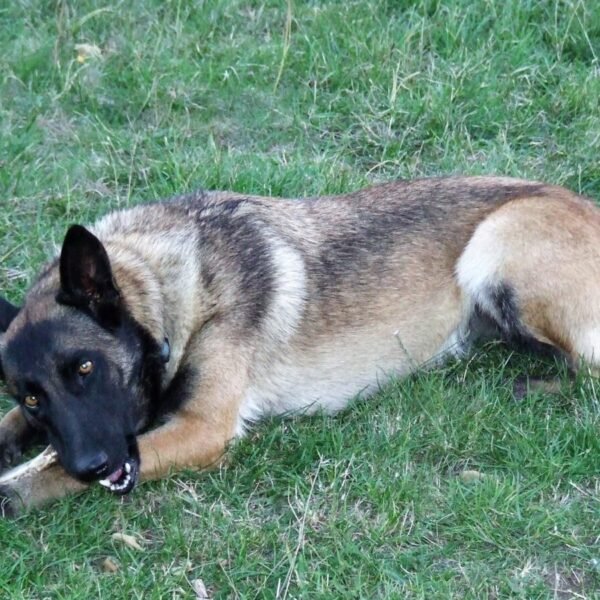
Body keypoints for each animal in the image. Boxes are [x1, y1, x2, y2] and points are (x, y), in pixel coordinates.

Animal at [1, 175, 600, 516]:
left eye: (85, 368)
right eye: (31, 397)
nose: (92, 465)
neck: (172, 288)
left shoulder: (201, 430)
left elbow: (48, 470)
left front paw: (17, 490)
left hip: (492, 249)